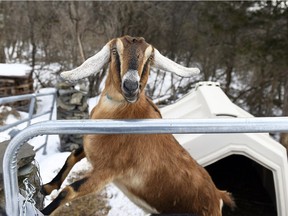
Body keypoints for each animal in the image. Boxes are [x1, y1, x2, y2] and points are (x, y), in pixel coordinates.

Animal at [40, 35, 235, 216]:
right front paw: (46, 187)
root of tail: (218, 196)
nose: (131, 86)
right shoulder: (90, 149)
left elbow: (69, 191)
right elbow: (72, 156)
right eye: (115, 51)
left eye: (149, 58)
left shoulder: (107, 171)